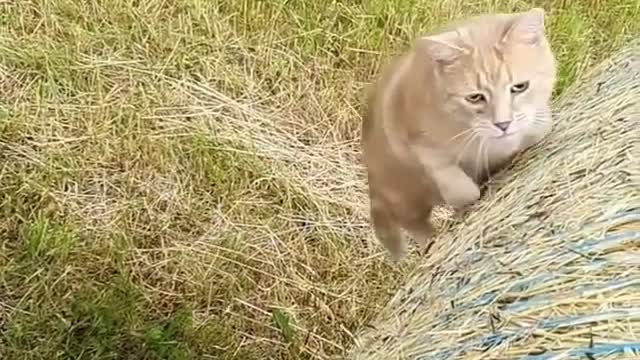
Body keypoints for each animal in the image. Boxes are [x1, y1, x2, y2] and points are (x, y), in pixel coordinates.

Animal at [360, 8, 556, 260]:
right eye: (474, 97)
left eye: (520, 87)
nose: (503, 124)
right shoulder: (410, 136)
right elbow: (457, 184)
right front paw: (466, 197)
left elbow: (538, 129)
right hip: (404, 195)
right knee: (412, 222)